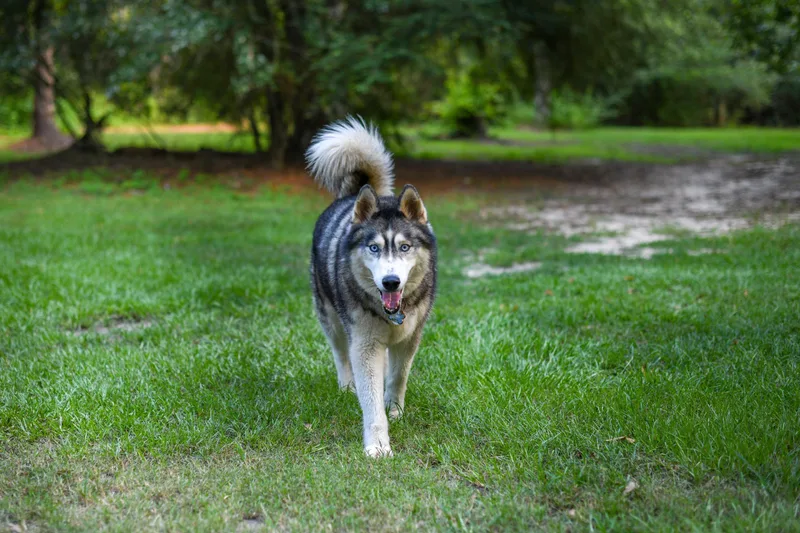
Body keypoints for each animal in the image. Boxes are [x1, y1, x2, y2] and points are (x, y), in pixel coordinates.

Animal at [306, 117, 437, 457]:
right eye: (374, 248)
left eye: (404, 247)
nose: (391, 281)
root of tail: (351, 196)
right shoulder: (364, 345)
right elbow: (370, 396)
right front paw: (378, 442)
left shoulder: (410, 338)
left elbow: (399, 376)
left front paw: (396, 409)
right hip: (330, 318)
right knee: (341, 353)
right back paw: (346, 386)